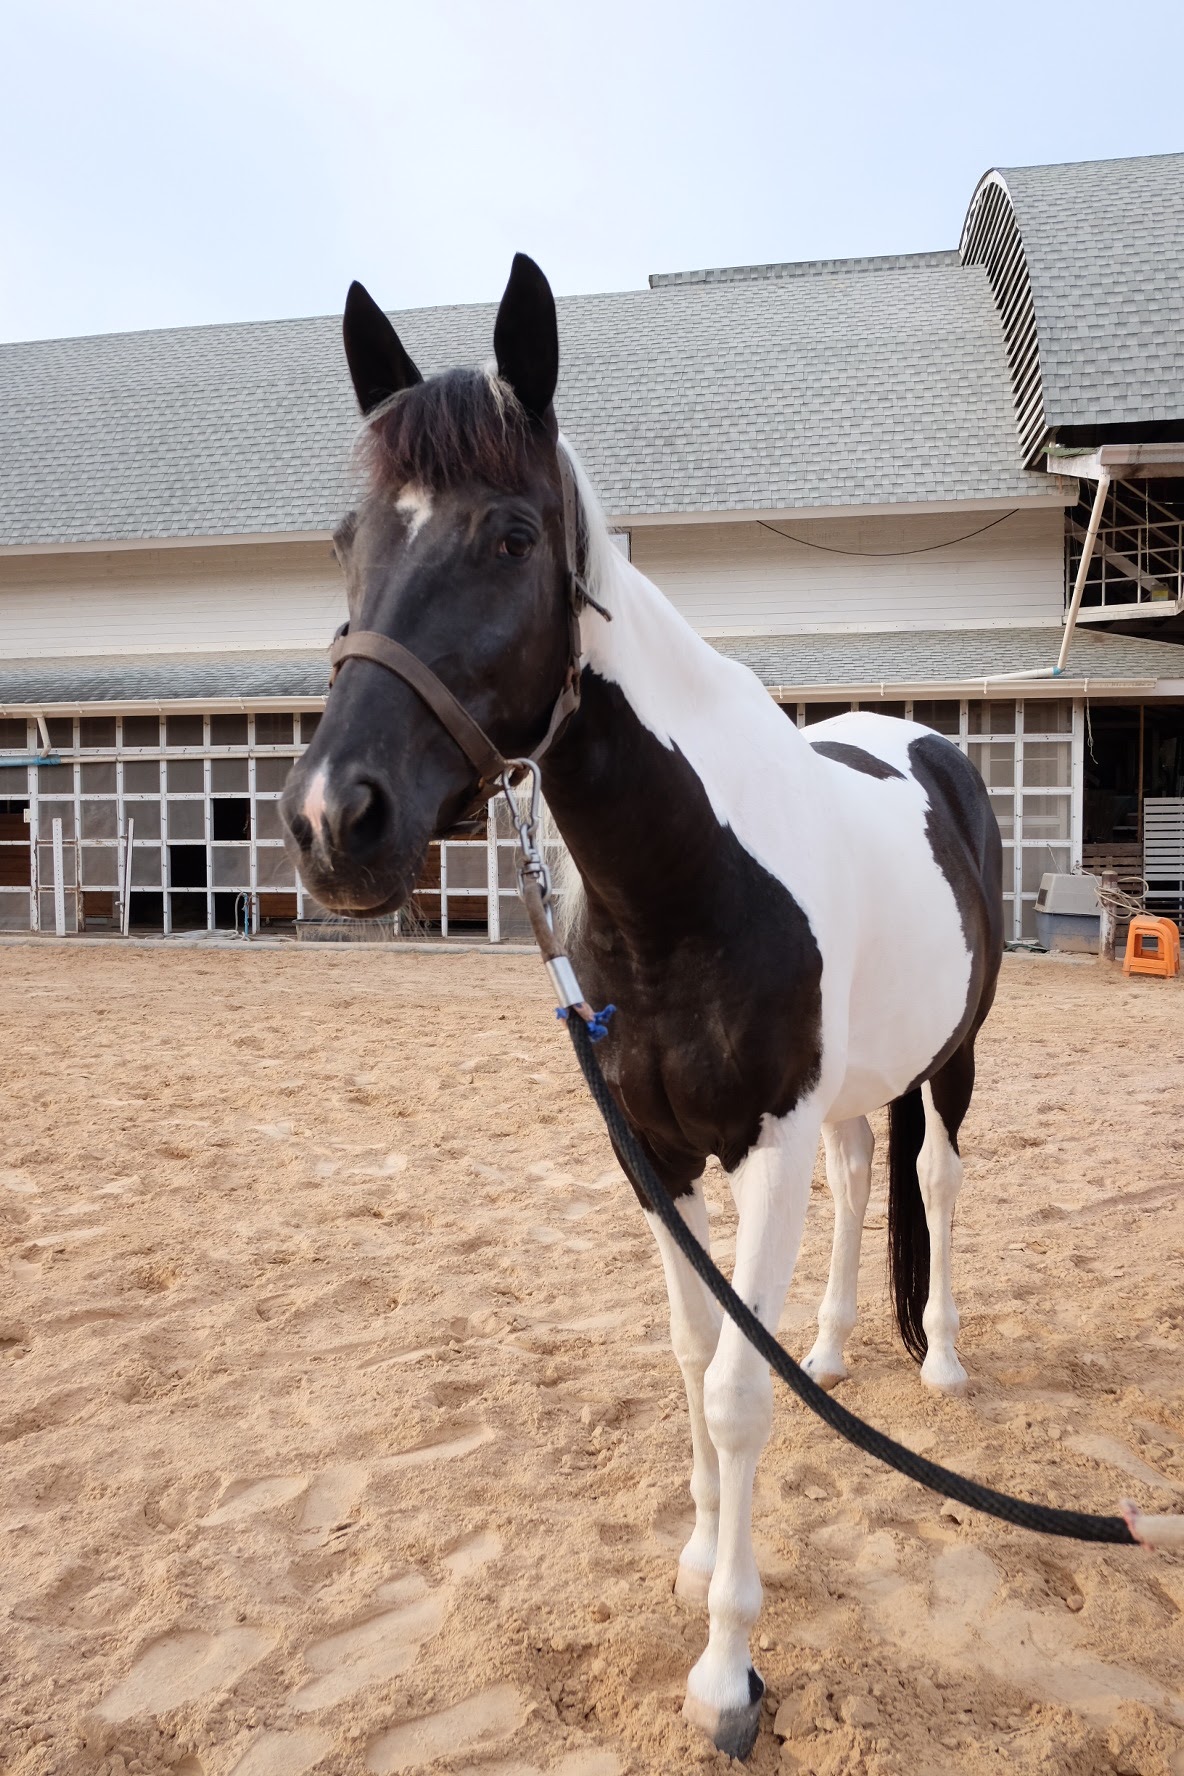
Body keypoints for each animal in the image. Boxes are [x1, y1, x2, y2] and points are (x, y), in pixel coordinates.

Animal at [281, 253, 1004, 1760]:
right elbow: (688, 1356)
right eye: (344, 536)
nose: (330, 822)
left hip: (955, 1061)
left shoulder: (763, 1143)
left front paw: (728, 1672)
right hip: (850, 1097)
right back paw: (836, 1347)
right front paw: (695, 1558)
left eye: (510, 535)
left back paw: (944, 1366)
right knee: (866, 1177)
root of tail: (925, 747)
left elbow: (733, 1389)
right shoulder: (655, 1156)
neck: (689, 881)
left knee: (937, 1185)